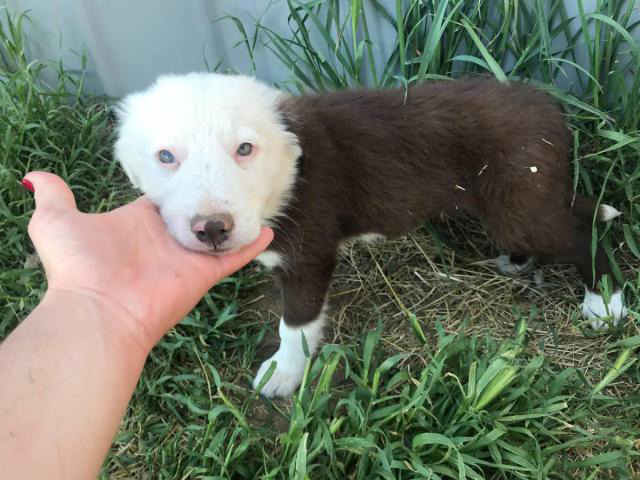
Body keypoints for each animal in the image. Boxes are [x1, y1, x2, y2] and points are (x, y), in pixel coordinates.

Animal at [115, 72, 624, 398]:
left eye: (245, 149)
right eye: (165, 157)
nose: (212, 228)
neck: (288, 174)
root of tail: (548, 108)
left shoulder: (309, 252)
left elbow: (294, 324)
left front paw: (284, 373)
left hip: (518, 201)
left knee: (580, 233)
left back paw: (605, 303)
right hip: (526, 195)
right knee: (575, 210)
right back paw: (523, 260)